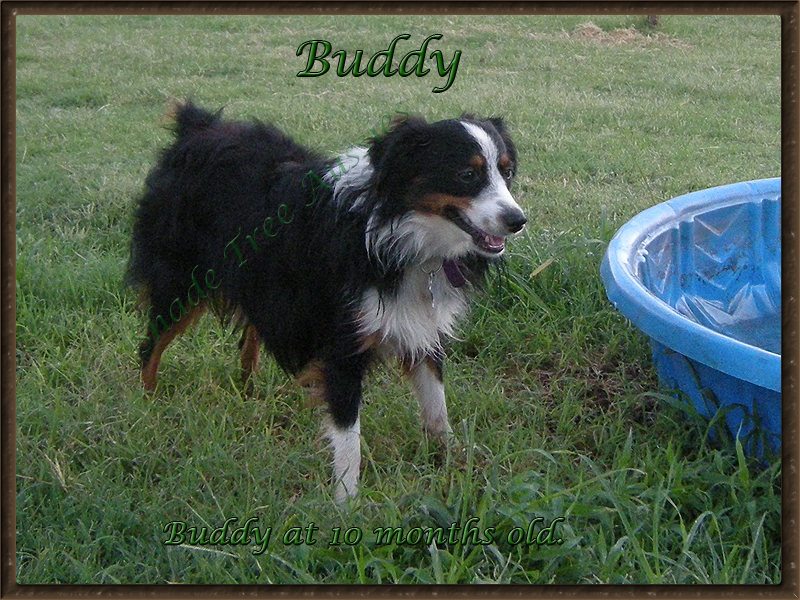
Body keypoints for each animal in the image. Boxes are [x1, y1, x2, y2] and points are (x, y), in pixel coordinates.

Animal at [126, 102, 524, 502]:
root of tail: (197, 126)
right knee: (151, 346)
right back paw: (146, 405)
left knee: (251, 333)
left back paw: (248, 391)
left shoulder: (422, 326)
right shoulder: (342, 343)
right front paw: (347, 504)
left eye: (506, 172)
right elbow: (348, 437)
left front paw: (457, 465)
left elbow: (437, 408)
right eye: (467, 174)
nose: (518, 220)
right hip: (180, 277)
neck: (403, 235)